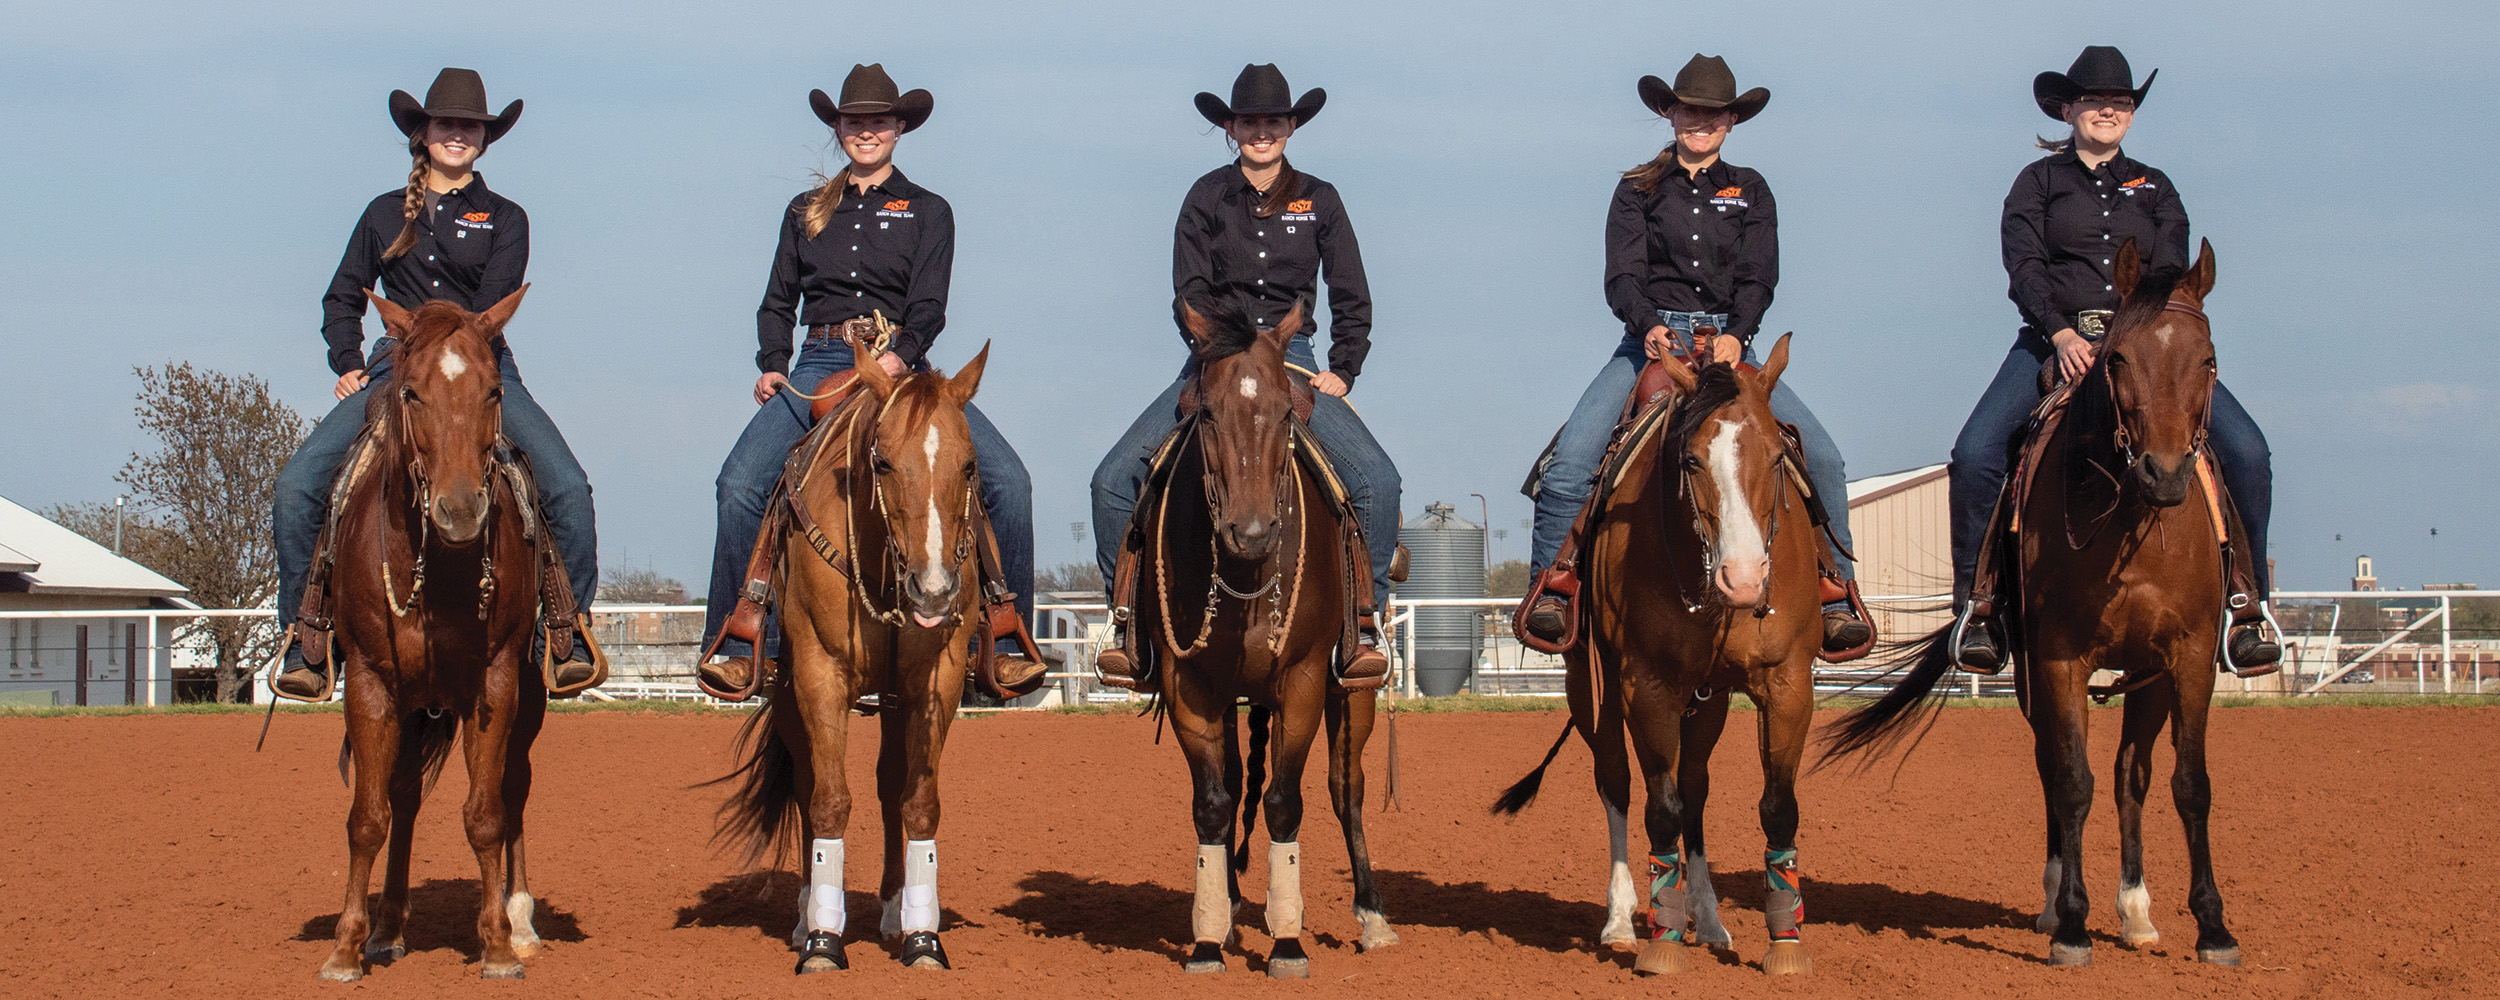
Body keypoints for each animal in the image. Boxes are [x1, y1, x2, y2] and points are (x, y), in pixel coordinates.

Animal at [320, 287, 555, 975]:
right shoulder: (370, 685)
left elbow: (485, 815)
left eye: (494, 391)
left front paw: (497, 944)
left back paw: (520, 918)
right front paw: (346, 946)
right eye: (412, 393)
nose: (459, 509)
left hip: (525, 701)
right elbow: (368, 816)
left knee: (513, 789)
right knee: (402, 797)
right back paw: (388, 925)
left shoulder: (495, 684)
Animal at [710, 340, 990, 975]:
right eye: (882, 462)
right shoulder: (820, 674)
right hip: (789, 693)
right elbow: (830, 800)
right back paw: (806, 916)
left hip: (893, 696)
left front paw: (922, 937)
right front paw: (822, 939)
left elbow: (918, 801)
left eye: (968, 465)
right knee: (808, 786)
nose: (933, 590)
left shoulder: (935, 679)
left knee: (890, 786)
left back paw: (891, 910)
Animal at [1140, 301, 1400, 980]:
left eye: (1285, 412)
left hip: (1352, 693)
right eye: (1206, 411)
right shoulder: (1189, 683)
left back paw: (1373, 916)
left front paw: (1287, 942)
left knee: (1346, 789)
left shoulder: (1303, 680)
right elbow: (1213, 801)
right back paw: (1231, 909)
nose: (1252, 532)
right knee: (1235, 784)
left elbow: (1285, 801)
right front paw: (1208, 939)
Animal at [1490, 332, 1830, 975]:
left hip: (1709, 699)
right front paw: (1663, 944)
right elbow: (1659, 808)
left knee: (1694, 788)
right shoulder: (1645, 687)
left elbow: (1777, 806)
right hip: (1590, 684)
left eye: (1778, 457)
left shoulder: (1787, 683)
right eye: (1691, 460)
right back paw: (1625, 921)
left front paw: (1785, 945)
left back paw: (1711, 922)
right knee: (1618, 783)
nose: (1744, 580)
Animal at [1820, 238, 2250, 965]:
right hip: (2031, 674)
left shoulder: (2188, 658)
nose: (2164, 474)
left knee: (2132, 773)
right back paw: (2058, 906)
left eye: (2209, 358)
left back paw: (2137, 912)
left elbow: (2190, 785)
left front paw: (2214, 928)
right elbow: (2071, 780)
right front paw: (2073, 924)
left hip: (2149, 676)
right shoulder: (2057, 659)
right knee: (2056, 767)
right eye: (2119, 358)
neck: (2129, 527)